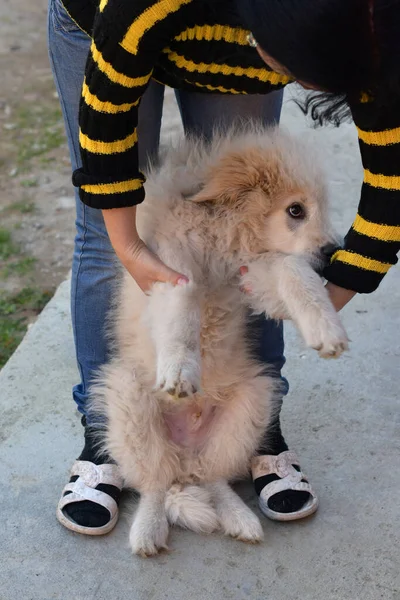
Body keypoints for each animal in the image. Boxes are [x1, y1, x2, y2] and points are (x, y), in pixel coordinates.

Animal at [90, 126, 346, 556]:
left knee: (214, 477)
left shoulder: (254, 276)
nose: (332, 254)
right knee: (155, 483)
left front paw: (326, 328)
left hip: (252, 403)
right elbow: (182, 309)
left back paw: (239, 518)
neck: (225, 237)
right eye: (296, 210)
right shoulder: (170, 266)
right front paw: (180, 368)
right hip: (128, 400)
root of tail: (185, 456)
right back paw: (147, 530)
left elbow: (293, 270)